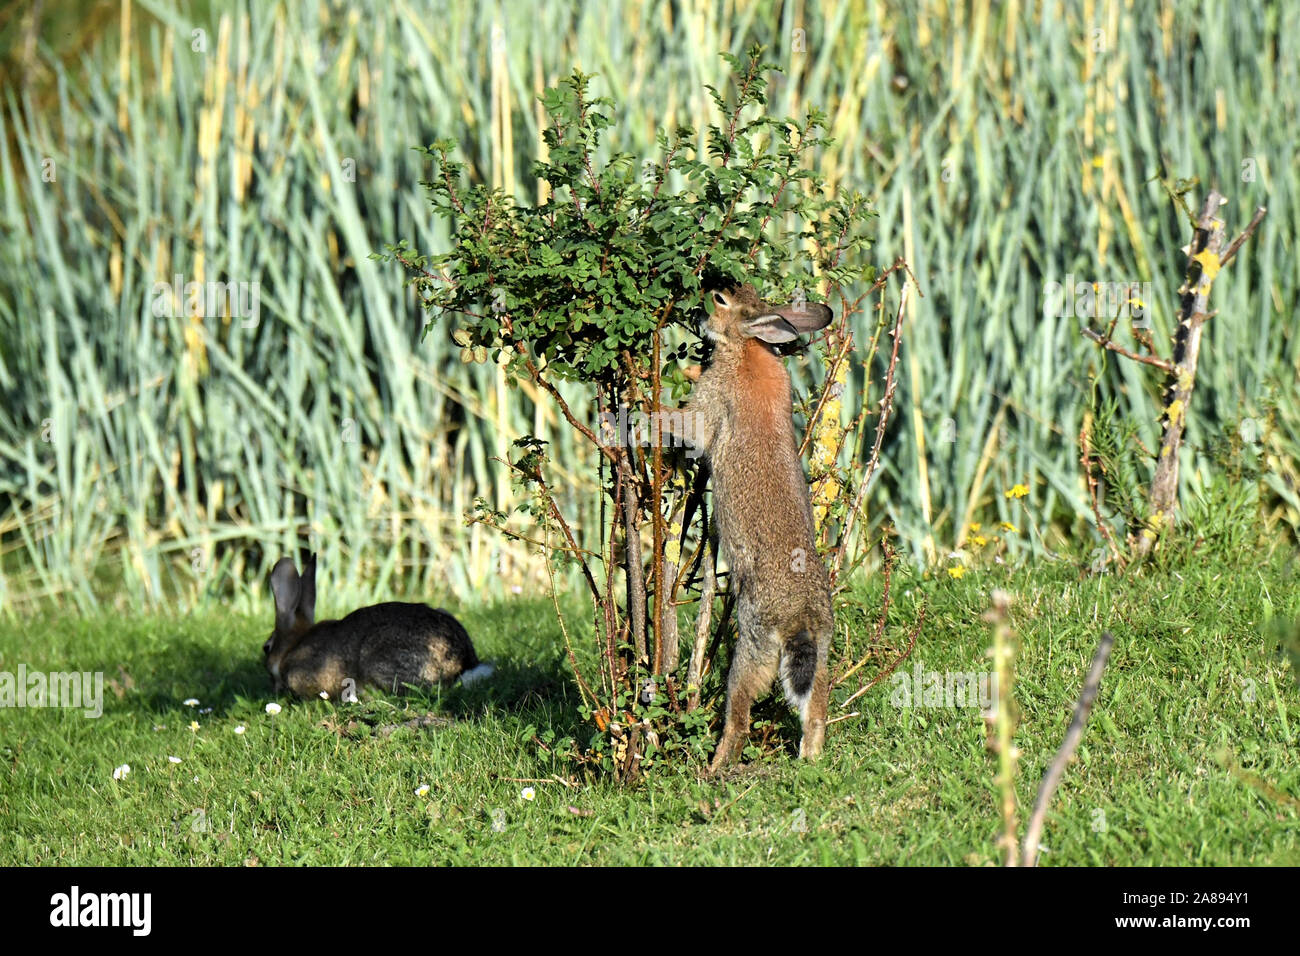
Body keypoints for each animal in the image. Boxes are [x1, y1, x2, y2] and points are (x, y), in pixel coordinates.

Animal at [662, 283, 835, 772]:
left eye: (721, 299)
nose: (701, 307)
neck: (747, 345)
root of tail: (800, 619)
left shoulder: (708, 406)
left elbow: (680, 423)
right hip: (821, 656)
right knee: (815, 711)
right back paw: (810, 758)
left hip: (751, 651)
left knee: (738, 718)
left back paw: (714, 767)